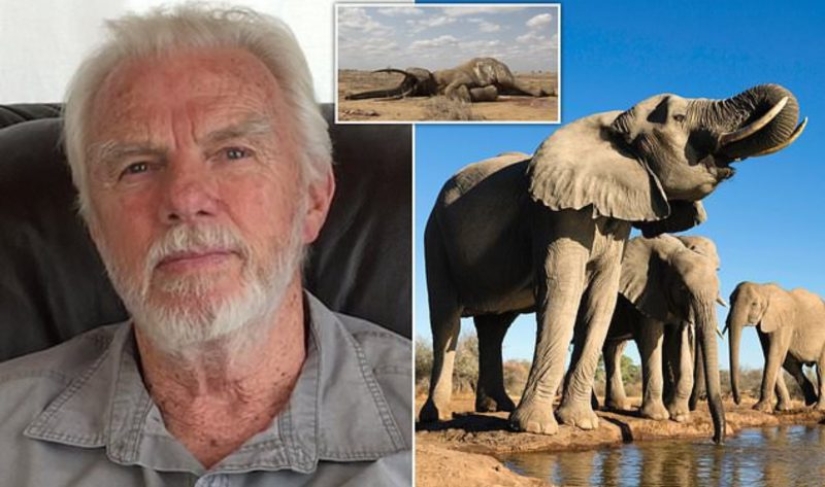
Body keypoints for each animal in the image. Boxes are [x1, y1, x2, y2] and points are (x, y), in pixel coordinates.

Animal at [602, 234, 727, 423]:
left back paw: (617, 406)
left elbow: (677, 343)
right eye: (683, 289)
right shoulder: (645, 294)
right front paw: (656, 416)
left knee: (612, 349)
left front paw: (680, 416)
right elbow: (651, 340)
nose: (717, 434)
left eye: (718, 269)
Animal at [726, 281, 825, 412]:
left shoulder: (785, 322)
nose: (738, 401)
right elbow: (769, 354)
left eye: (754, 304)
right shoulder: (764, 323)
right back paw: (811, 401)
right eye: (730, 301)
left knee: (821, 369)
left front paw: (760, 408)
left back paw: (818, 408)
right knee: (792, 366)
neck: (763, 289)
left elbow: (774, 354)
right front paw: (782, 408)